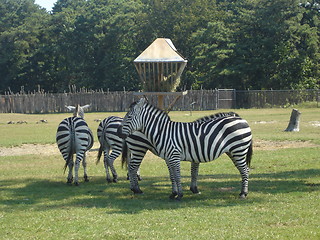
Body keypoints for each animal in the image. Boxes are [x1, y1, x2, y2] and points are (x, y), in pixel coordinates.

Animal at [119, 97, 254, 201]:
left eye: (129, 117)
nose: (119, 132)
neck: (163, 132)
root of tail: (242, 120)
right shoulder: (169, 158)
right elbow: (173, 176)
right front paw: (174, 193)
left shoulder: (175, 156)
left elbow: (179, 175)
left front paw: (180, 195)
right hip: (234, 152)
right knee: (244, 170)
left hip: (238, 150)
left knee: (244, 170)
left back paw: (243, 194)